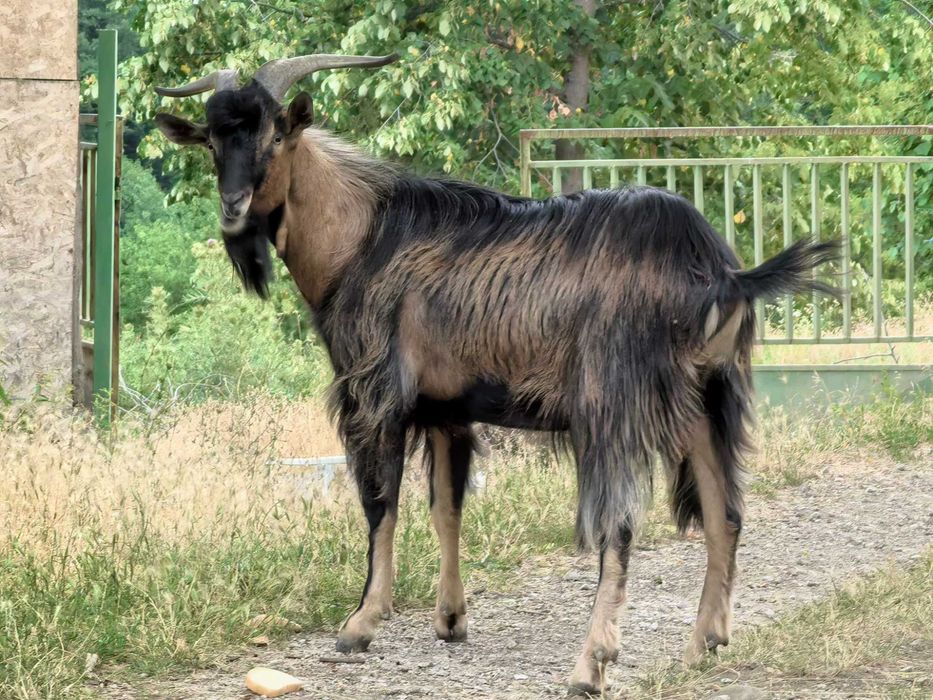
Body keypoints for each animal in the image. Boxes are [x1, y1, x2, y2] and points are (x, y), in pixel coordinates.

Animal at [155, 53, 838, 695]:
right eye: (212, 141)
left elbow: (381, 505)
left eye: (275, 136)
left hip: (612, 403)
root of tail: (718, 273)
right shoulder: (446, 408)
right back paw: (703, 644)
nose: (233, 209)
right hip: (707, 397)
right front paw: (451, 620)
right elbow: (447, 507)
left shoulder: (375, 395)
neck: (362, 238)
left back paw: (591, 665)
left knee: (619, 524)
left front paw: (360, 625)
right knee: (726, 512)